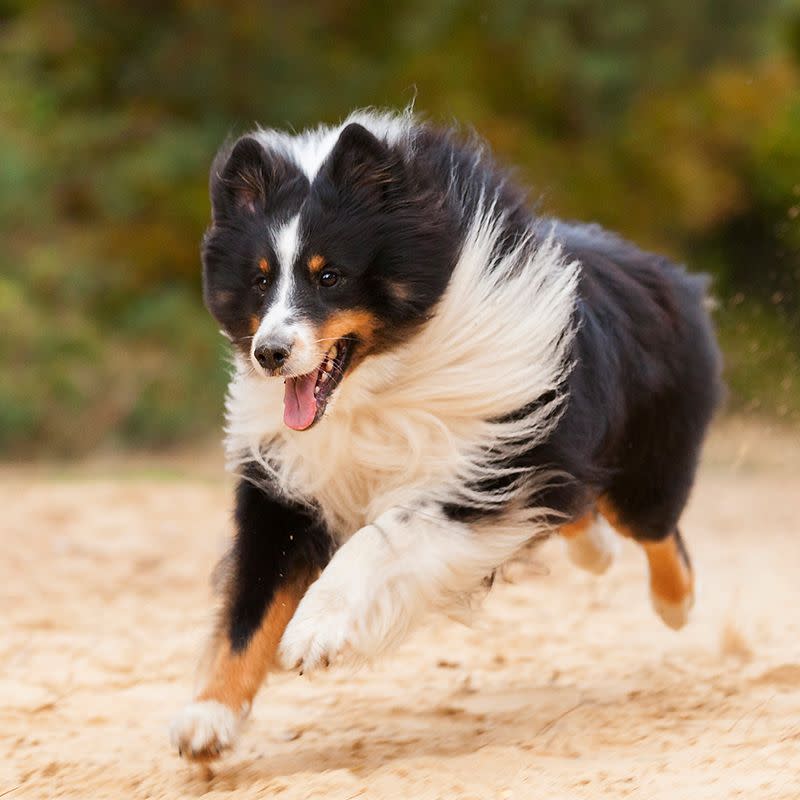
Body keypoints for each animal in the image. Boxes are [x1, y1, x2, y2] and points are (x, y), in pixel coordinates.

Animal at [172, 109, 720, 760]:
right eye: (259, 281)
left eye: (329, 276)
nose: (270, 354)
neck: (374, 388)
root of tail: (671, 275)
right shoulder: (285, 484)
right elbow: (249, 608)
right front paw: (207, 718)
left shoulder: (480, 468)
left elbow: (380, 537)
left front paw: (315, 631)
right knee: (578, 506)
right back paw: (596, 551)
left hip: (640, 462)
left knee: (657, 530)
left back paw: (676, 605)